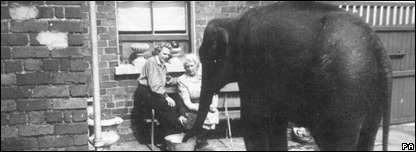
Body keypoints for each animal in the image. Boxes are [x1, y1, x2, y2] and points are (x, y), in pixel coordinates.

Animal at [183, 1, 394, 151]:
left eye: (206, 58)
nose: (185, 139)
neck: (234, 22)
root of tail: (377, 44)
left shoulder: (253, 70)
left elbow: (253, 123)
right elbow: (276, 124)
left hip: (344, 93)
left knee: (336, 140)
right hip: (372, 94)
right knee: (367, 136)